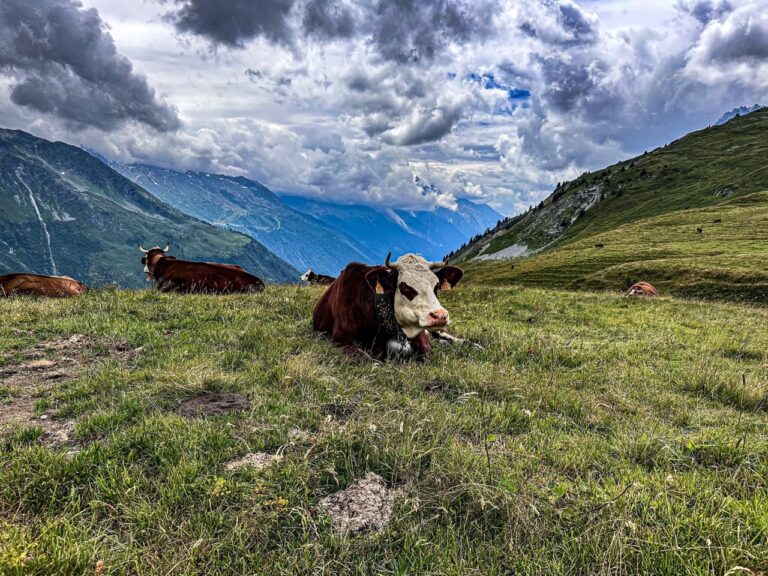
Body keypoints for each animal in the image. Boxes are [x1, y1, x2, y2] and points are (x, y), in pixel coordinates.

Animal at [312, 253, 464, 359]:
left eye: (436, 286)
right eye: (404, 286)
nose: (440, 316)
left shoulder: (421, 336)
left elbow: (428, 351)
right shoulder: (340, 340)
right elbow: (367, 358)